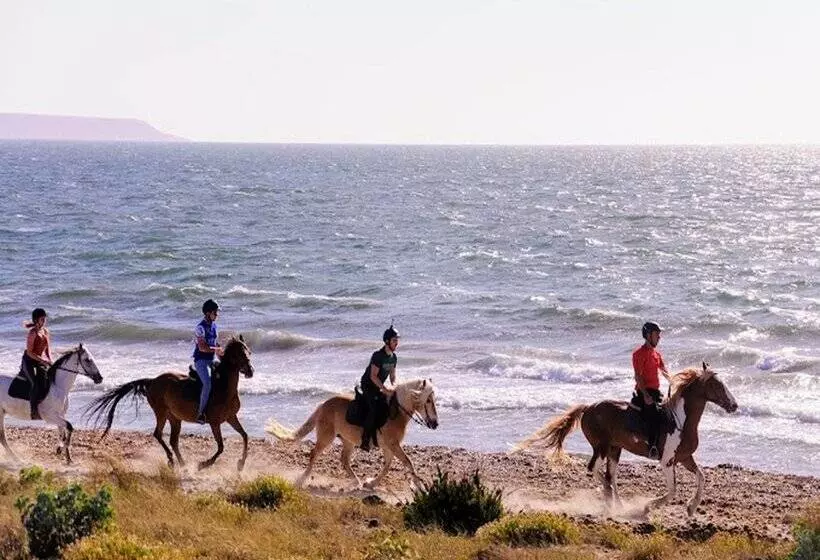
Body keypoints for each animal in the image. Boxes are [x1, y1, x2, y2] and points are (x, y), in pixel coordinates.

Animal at [85, 336, 254, 471]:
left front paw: (241, 464)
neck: (224, 388)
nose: (250, 371)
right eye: (239, 354)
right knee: (158, 434)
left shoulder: (231, 417)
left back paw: (182, 463)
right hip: (161, 412)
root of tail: (152, 381)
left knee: (173, 441)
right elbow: (221, 447)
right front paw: (203, 464)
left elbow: (245, 436)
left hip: (174, 418)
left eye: (249, 352)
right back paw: (172, 460)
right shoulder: (214, 423)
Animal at [266, 378, 438, 489]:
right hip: (326, 437)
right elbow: (408, 462)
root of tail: (323, 405)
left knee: (344, 460)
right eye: (428, 401)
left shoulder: (389, 446)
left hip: (348, 440)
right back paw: (302, 479)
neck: (395, 412)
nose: (435, 424)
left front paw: (371, 483)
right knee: (314, 453)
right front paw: (420, 486)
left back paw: (356, 481)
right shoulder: (393, 445)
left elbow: (388, 466)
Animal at [516, 363, 738, 516]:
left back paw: (617, 502)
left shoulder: (684, 458)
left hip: (615, 449)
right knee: (596, 469)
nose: (734, 405)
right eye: (717, 385)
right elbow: (672, 490)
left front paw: (691, 507)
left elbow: (701, 477)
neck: (680, 420)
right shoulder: (667, 461)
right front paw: (648, 507)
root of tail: (588, 408)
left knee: (610, 474)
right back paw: (609, 497)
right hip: (601, 446)